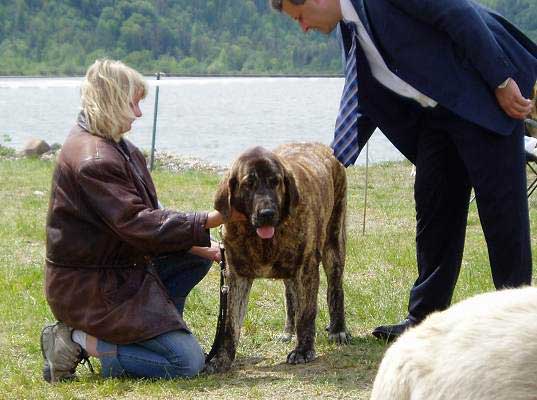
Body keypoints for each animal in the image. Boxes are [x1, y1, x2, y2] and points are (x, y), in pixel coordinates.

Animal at [207, 143, 350, 372]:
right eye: (249, 183)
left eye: (275, 182)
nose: (267, 213)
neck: (262, 240)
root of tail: (325, 146)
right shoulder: (236, 276)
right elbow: (230, 323)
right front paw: (222, 358)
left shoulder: (307, 269)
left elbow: (306, 313)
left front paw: (303, 350)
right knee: (290, 295)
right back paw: (288, 331)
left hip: (334, 242)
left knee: (335, 288)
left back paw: (338, 329)